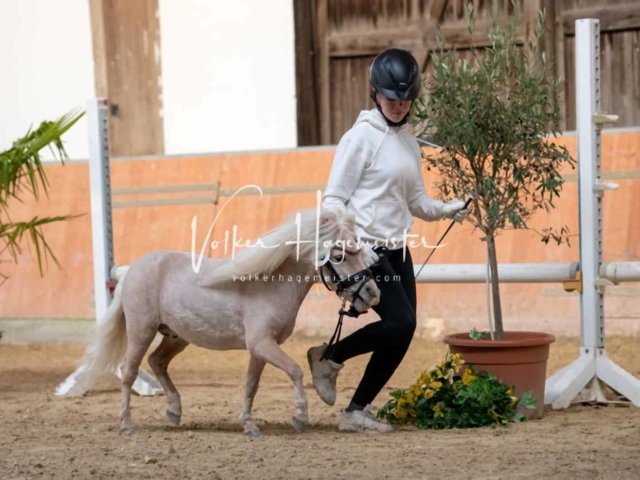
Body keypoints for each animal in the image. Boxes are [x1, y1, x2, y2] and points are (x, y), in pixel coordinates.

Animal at [65, 208, 380, 436]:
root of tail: (132, 269)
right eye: (339, 255)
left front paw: (249, 425)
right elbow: (295, 370)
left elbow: (251, 385)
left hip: (176, 336)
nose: (373, 294)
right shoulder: (262, 344)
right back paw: (127, 425)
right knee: (128, 370)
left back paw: (174, 412)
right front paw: (300, 417)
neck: (270, 284)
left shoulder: (260, 349)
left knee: (157, 362)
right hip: (141, 331)